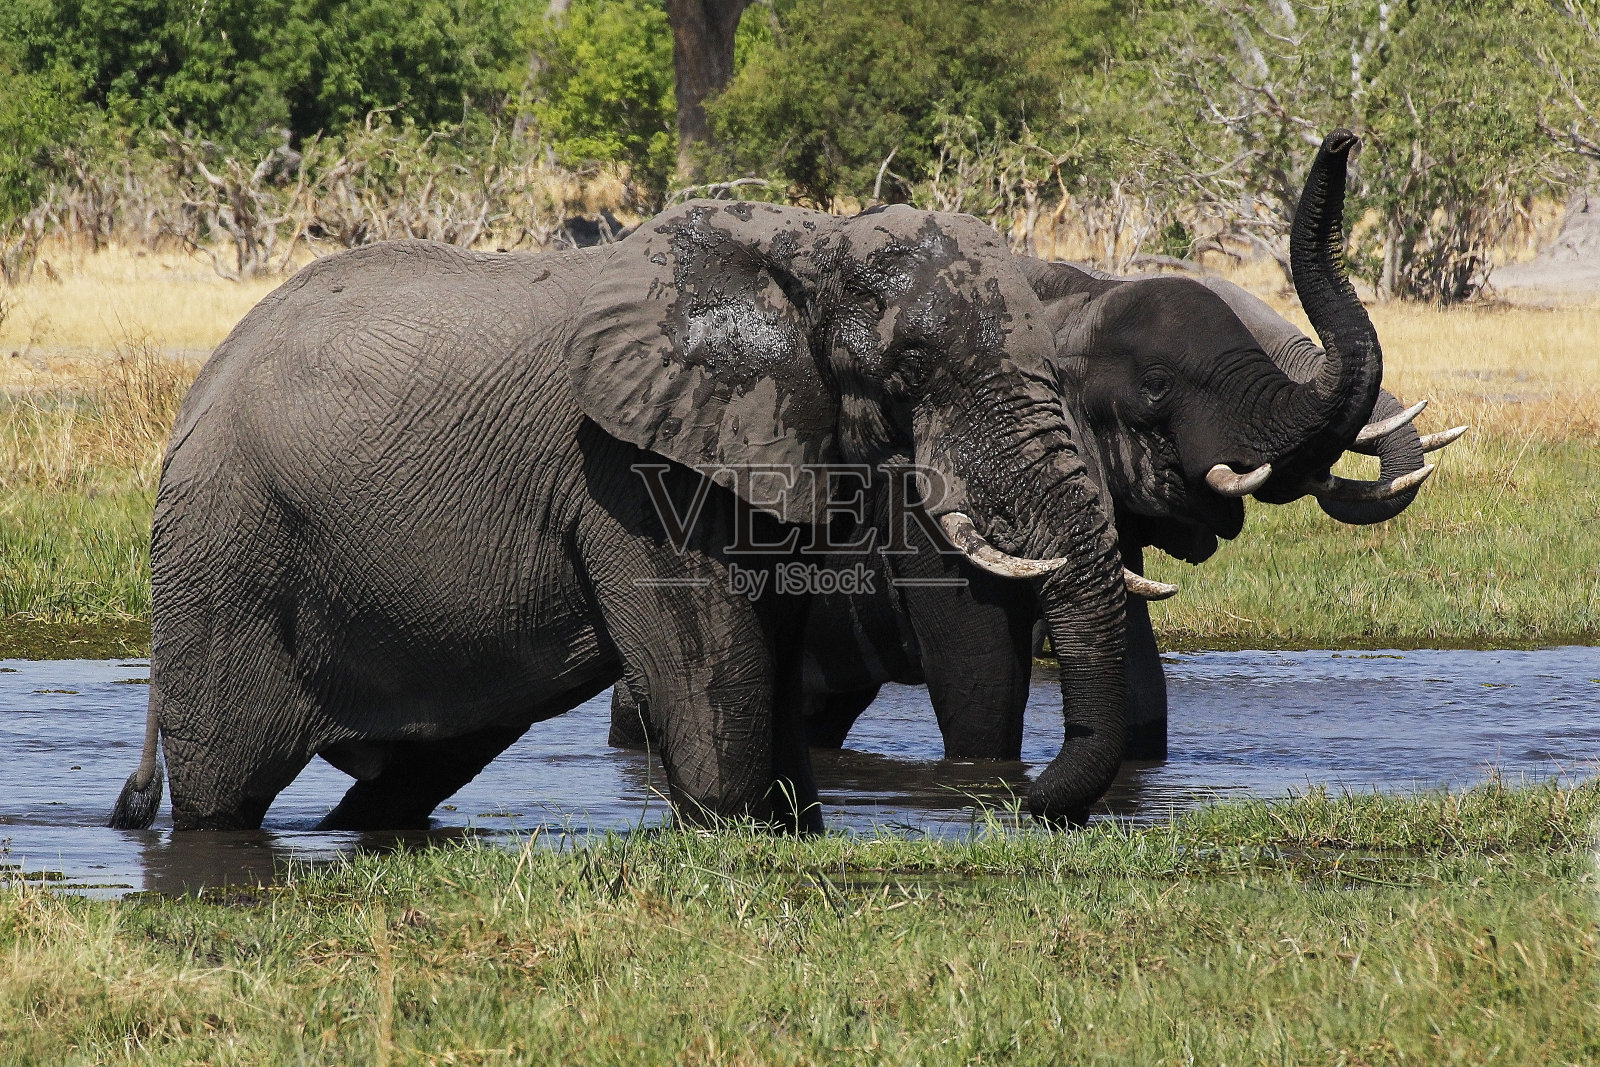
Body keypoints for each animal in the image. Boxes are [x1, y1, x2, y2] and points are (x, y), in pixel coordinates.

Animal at [109, 194, 1163, 833]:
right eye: (908, 370)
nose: (1011, 808)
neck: (807, 244)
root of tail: (194, 398)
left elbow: (774, 661)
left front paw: (796, 829)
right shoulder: (624, 469)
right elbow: (717, 670)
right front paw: (734, 833)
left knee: (405, 778)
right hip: (226, 556)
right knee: (225, 790)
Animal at [608, 131, 1462, 764]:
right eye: (1157, 386)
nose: (1345, 139)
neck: (1075, 296)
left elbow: (1138, 684)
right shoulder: (923, 503)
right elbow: (981, 682)